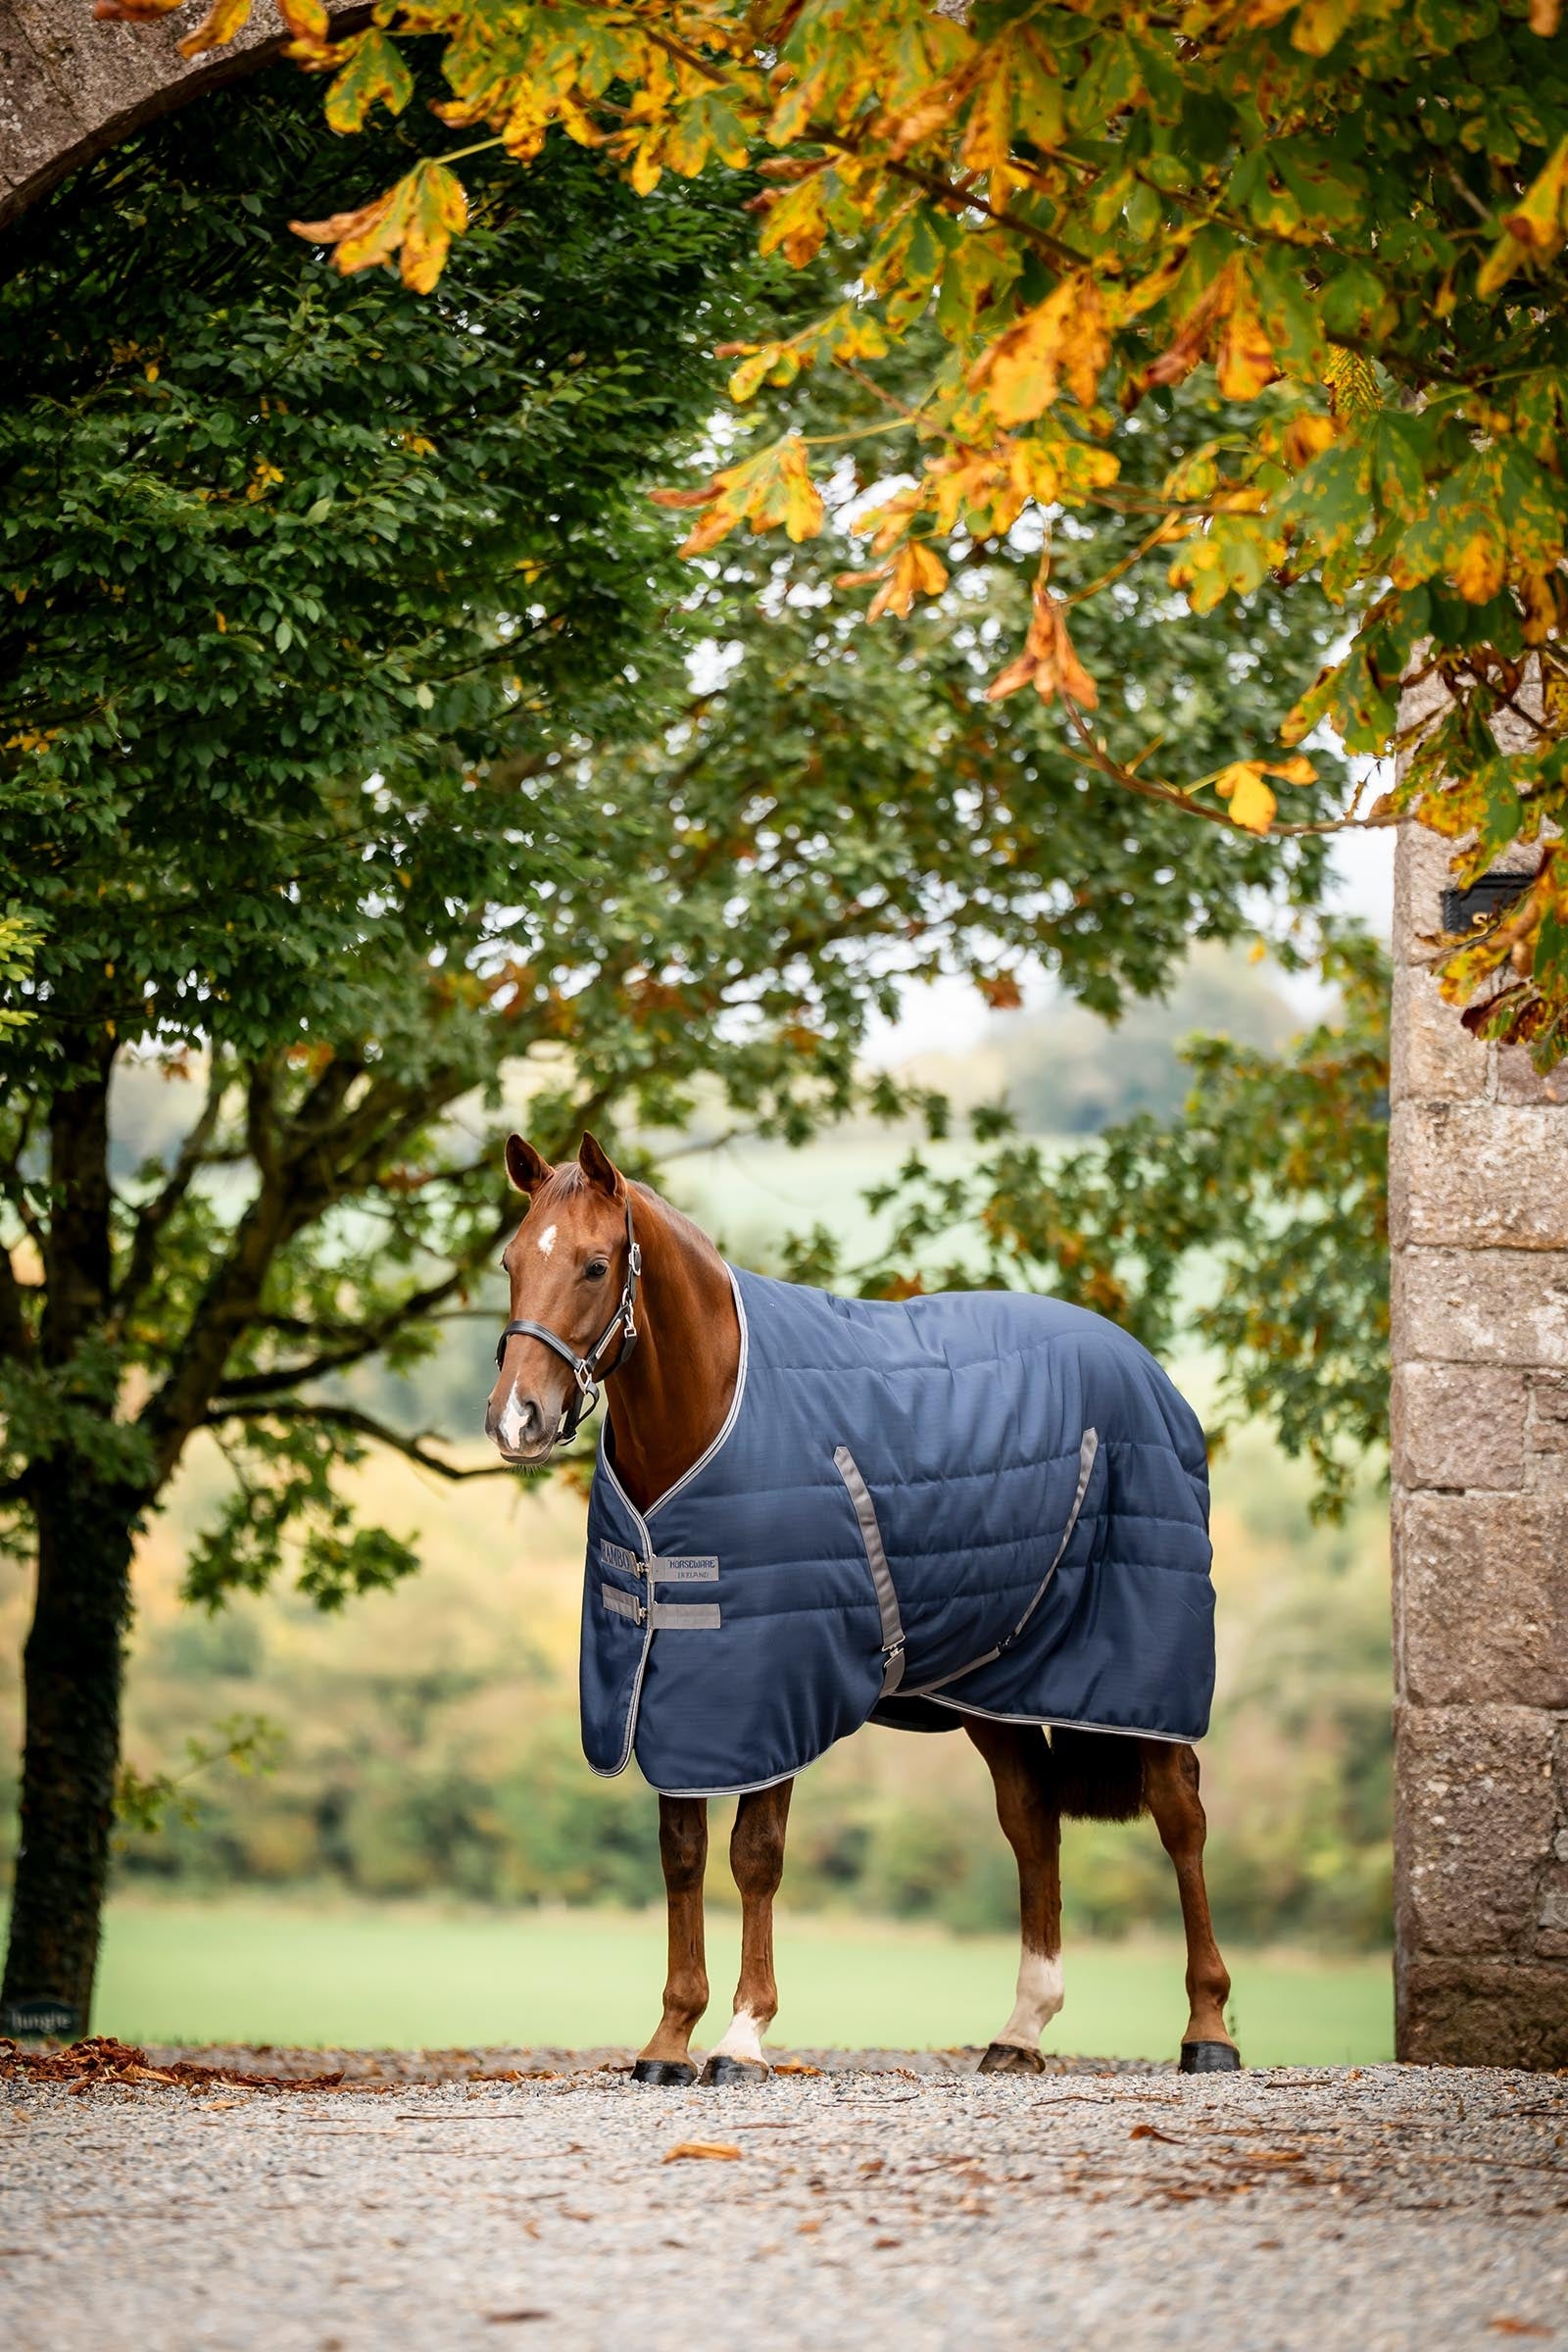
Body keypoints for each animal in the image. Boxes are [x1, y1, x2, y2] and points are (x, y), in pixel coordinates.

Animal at [485, 1130, 1239, 2085]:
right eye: (512, 1261)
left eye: (592, 1265)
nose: (517, 1419)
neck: (713, 1409)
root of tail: (1146, 1369)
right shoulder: (673, 1686)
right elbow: (682, 1856)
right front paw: (668, 2039)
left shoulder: (769, 1690)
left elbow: (755, 1857)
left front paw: (741, 2038)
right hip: (992, 1682)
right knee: (1032, 1821)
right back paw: (1022, 2029)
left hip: (1144, 1671)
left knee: (1182, 1817)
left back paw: (1208, 2028)